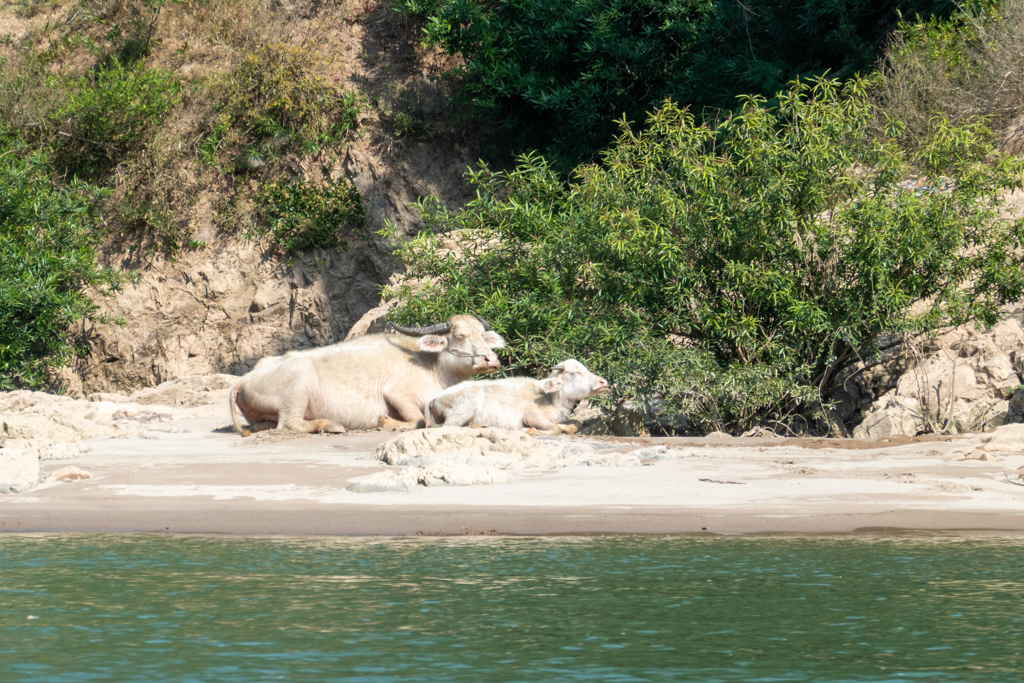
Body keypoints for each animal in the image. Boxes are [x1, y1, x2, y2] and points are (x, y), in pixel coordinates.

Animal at [230, 317, 505, 438]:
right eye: (459, 336)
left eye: (482, 335)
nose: (492, 360)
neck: (431, 366)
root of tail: (244, 379)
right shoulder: (396, 393)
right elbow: (419, 421)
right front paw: (387, 423)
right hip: (298, 387)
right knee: (289, 424)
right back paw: (331, 426)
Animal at [423, 360, 606, 436]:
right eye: (575, 373)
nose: (604, 382)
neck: (548, 399)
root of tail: (434, 399)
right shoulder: (532, 416)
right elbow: (555, 429)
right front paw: (529, 430)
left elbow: (577, 423)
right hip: (465, 404)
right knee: (449, 427)